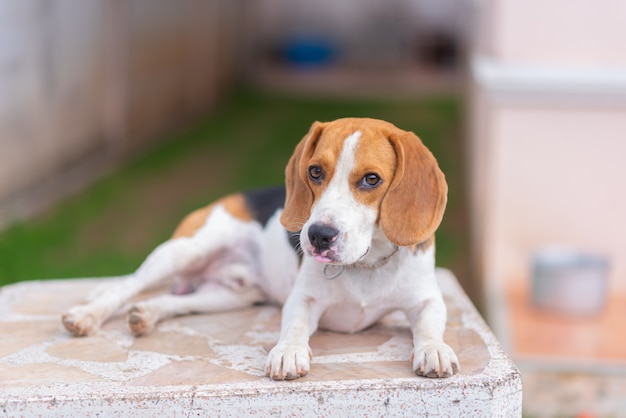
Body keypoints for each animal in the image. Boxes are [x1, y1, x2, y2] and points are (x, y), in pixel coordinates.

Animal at [62, 116, 458, 378]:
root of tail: (229, 198)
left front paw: (433, 349)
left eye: (372, 179)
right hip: (183, 251)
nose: (318, 235)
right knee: (125, 287)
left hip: (229, 295)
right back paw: (86, 315)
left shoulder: (427, 299)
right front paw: (288, 352)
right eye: (315, 172)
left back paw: (147, 313)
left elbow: (428, 324)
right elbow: (294, 325)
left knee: (175, 301)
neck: (366, 264)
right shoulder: (302, 299)